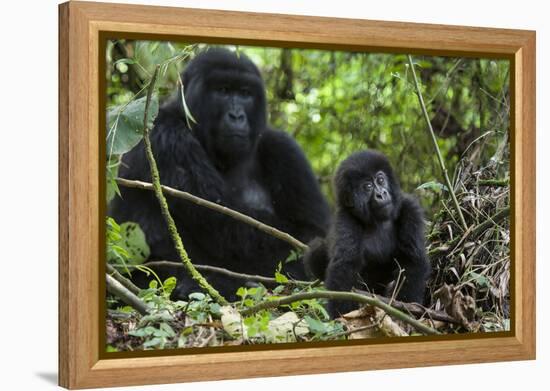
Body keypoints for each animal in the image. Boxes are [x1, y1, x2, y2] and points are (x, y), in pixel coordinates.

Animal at [110, 49, 330, 300]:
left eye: (245, 93)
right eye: (222, 90)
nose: (236, 116)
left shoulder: (285, 149)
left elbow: (313, 229)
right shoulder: (165, 135)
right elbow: (229, 226)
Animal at [306, 150, 432, 318]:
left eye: (380, 180)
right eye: (368, 186)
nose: (381, 194)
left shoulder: (409, 208)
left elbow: (412, 259)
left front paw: (406, 307)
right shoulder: (346, 219)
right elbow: (345, 267)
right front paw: (343, 317)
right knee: (316, 249)